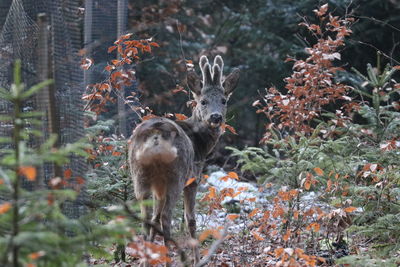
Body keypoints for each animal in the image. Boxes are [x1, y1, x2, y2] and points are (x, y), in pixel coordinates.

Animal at [130, 55, 239, 266]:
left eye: (224, 100)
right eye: (203, 101)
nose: (216, 117)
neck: (201, 144)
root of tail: (156, 136)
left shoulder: (158, 186)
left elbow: (154, 218)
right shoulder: (194, 179)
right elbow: (190, 219)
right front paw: (198, 260)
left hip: (140, 175)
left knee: (148, 218)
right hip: (176, 176)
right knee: (166, 217)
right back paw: (170, 260)